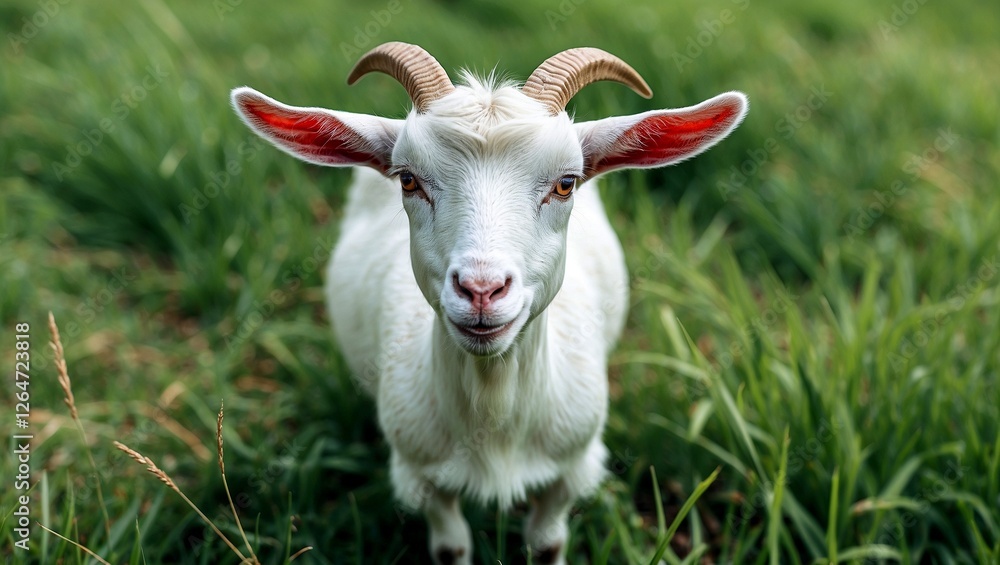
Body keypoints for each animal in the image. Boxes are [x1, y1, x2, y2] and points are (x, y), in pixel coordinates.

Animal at [232, 42, 747, 564]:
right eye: (408, 180)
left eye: (566, 183)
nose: (482, 289)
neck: (493, 409)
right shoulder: (419, 474)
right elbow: (450, 547)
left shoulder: (574, 465)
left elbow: (547, 542)